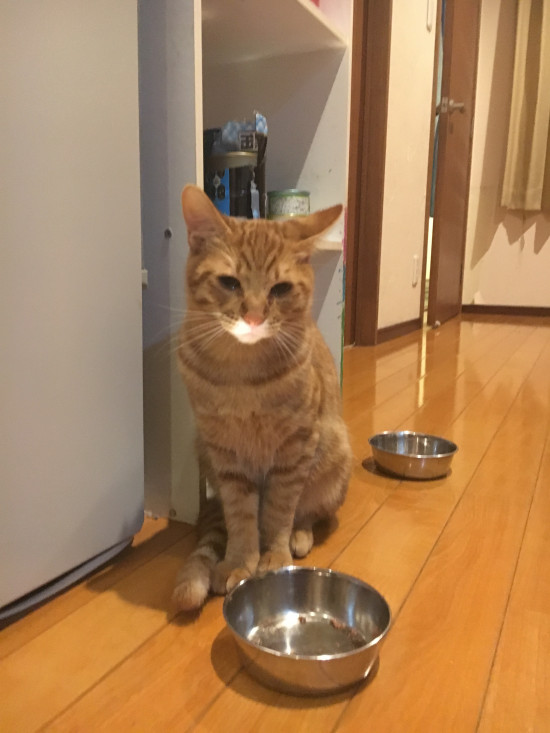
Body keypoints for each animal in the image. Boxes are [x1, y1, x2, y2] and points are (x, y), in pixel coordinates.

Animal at [172, 185, 352, 611]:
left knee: (308, 512)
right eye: (230, 283)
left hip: (333, 454)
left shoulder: (295, 449)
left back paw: (299, 536)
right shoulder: (225, 455)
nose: (253, 318)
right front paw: (240, 561)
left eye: (281, 289)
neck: (241, 377)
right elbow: (241, 517)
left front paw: (274, 557)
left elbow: (279, 510)